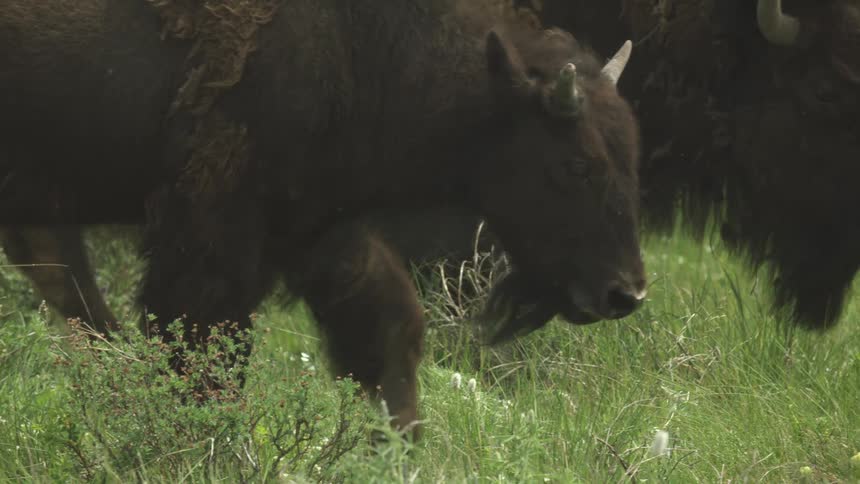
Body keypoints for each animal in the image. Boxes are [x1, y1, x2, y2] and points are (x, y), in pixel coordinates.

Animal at [0, 0, 645, 434]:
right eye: (577, 164)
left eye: (628, 154)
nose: (627, 293)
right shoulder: (214, 240)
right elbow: (203, 360)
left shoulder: (318, 230)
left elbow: (388, 333)